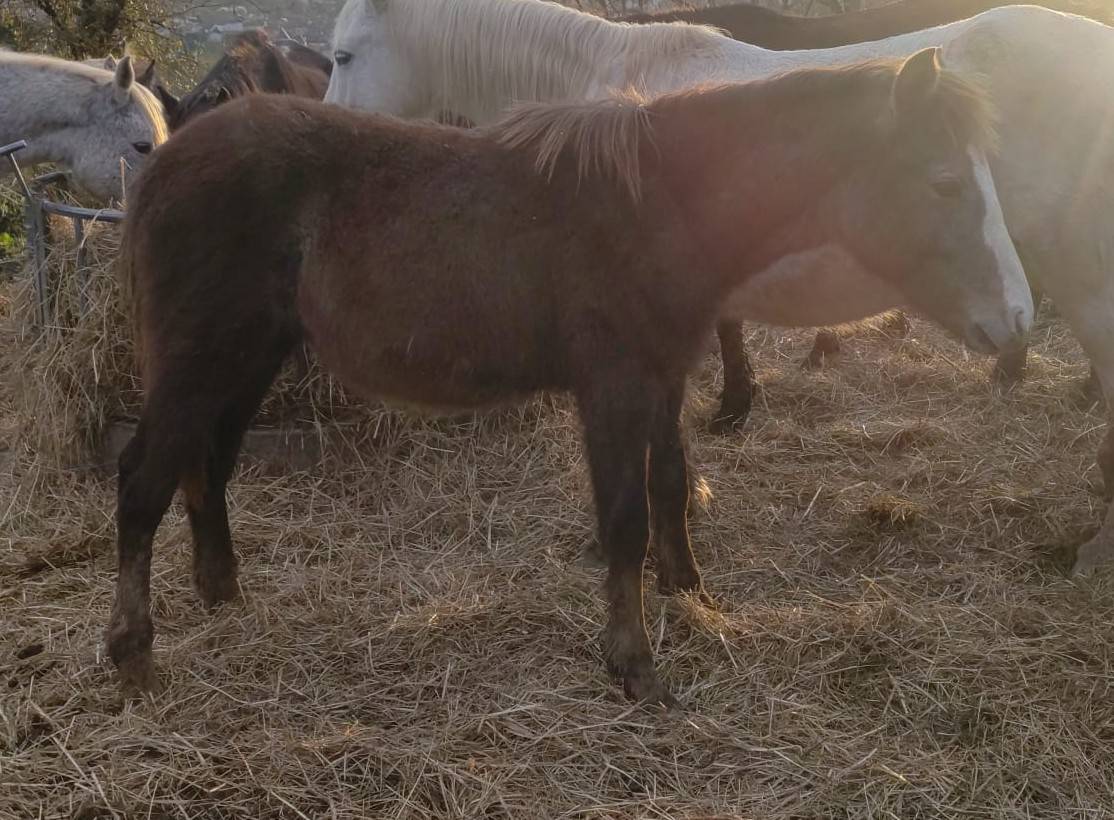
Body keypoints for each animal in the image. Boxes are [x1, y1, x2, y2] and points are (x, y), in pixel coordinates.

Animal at [107, 53, 1029, 704]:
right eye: (944, 181)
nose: (1015, 321)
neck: (659, 206)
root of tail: (164, 162)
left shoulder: (663, 375)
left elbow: (670, 483)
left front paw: (692, 594)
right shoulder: (615, 387)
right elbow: (623, 520)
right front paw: (635, 665)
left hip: (248, 358)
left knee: (206, 469)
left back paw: (223, 598)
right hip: (200, 362)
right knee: (144, 480)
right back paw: (133, 653)